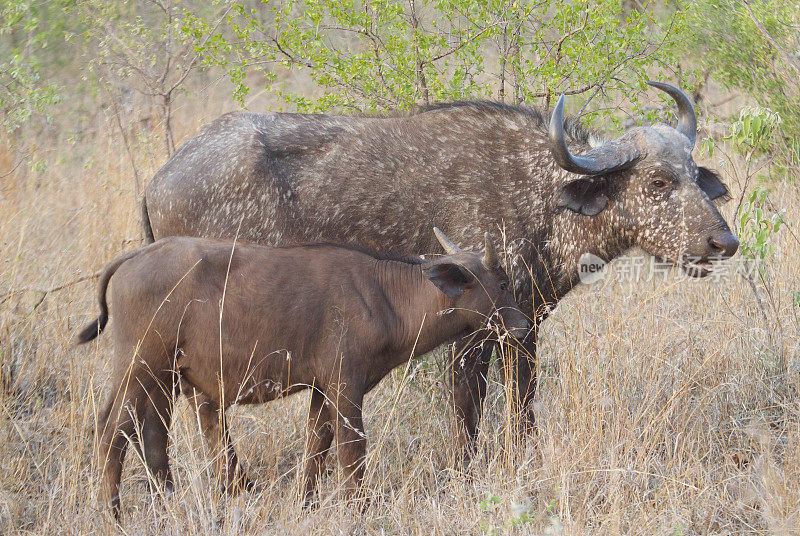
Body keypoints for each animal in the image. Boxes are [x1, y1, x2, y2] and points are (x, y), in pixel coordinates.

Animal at [142, 82, 736, 452]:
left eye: (692, 174)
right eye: (657, 181)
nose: (724, 241)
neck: (536, 192)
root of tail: (160, 178)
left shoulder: (525, 327)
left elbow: (523, 404)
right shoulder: (470, 332)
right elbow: (468, 408)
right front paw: (466, 473)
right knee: (204, 407)